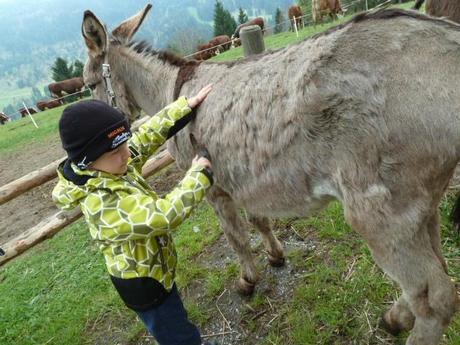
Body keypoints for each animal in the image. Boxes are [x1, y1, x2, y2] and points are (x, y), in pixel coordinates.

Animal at [82, 6, 460, 342]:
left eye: (88, 84)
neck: (172, 91)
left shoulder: (214, 189)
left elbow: (236, 237)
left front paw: (248, 281)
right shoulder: (244, 179)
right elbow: (259, 220)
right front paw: (276, 256)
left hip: (380, 212)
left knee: (435, 300)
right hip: (420, 202)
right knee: (437, 271)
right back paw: (395, 318)